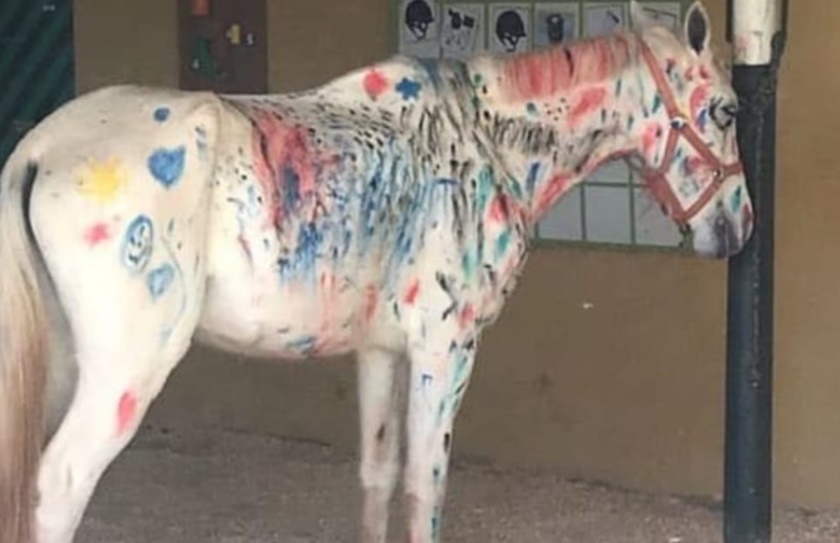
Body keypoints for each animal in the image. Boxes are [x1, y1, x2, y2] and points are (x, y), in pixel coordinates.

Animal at [0, 2, 751, 542]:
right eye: (726, 109)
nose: (739, 228)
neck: (481, 143)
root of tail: (41, 148)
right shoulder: (445, 351)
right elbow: (425, 487)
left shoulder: (380, 351)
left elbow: (377, 475)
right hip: (125, 374)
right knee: (58, 486)